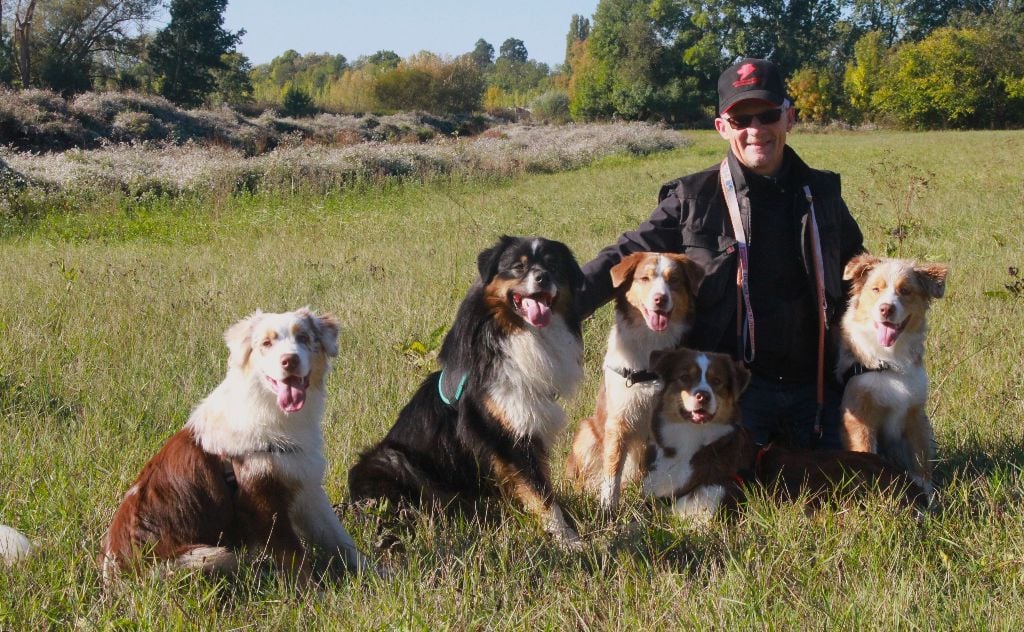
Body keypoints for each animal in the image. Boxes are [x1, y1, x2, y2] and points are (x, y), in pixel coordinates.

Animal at [348, 236, 585, 549]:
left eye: (554, 265)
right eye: (518, 267)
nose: (542, 277)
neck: (523, 334)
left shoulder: (530, 427)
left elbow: (539, 486)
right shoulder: (506, 435)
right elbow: (541, 494)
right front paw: (568, 540)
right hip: (392, 459)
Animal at [565, 249, 708, 508]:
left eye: (674, 280)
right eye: (645, 278)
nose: (660, 299)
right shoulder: (618, 422)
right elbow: (612, 471)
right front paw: (607, 508)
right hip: (587, 431)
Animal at [835, 254, 946, 499]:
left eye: (905, 291)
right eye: (876, 289)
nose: (886, 309)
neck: (888, 360)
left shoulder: (915, 412)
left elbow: (920, 457)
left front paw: (926, 493)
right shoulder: (859, 412)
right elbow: (865, 451)